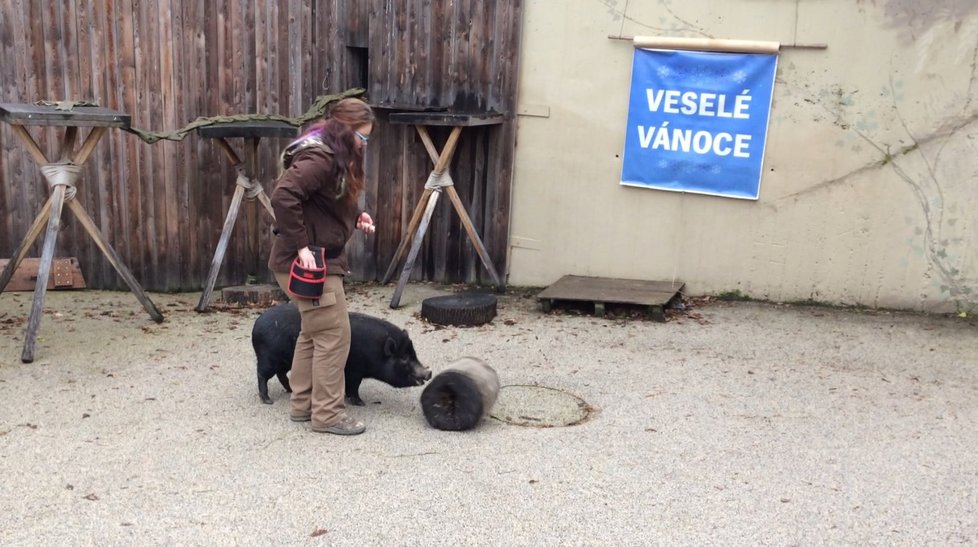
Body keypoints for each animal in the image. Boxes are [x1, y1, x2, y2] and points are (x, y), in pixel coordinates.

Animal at [254, 304, 428, 406]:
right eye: (404, 358)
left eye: (413, 353)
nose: (429, 372)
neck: (376, 351)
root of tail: (257, 323)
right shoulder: (354, 371)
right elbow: (354, 387)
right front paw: (361, 402)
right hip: (267, 358)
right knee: (262, 375)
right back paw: (268, 400)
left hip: (283, 361)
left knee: (281, 374)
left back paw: (290, 390)